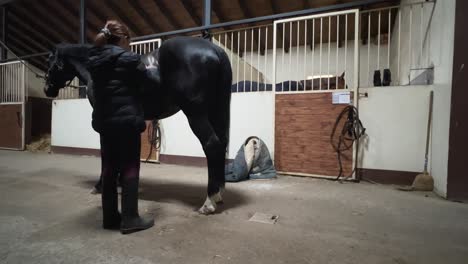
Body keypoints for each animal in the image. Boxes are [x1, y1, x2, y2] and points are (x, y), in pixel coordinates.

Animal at [43, 36, 232, 214]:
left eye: (50, 62)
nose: (47, 90)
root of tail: (215, 50)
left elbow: (106, 154)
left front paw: (100, 185)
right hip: (216, 111)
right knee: (222, 143)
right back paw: (219, 194)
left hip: (195, 113)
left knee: (212, 145)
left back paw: (209, 202)